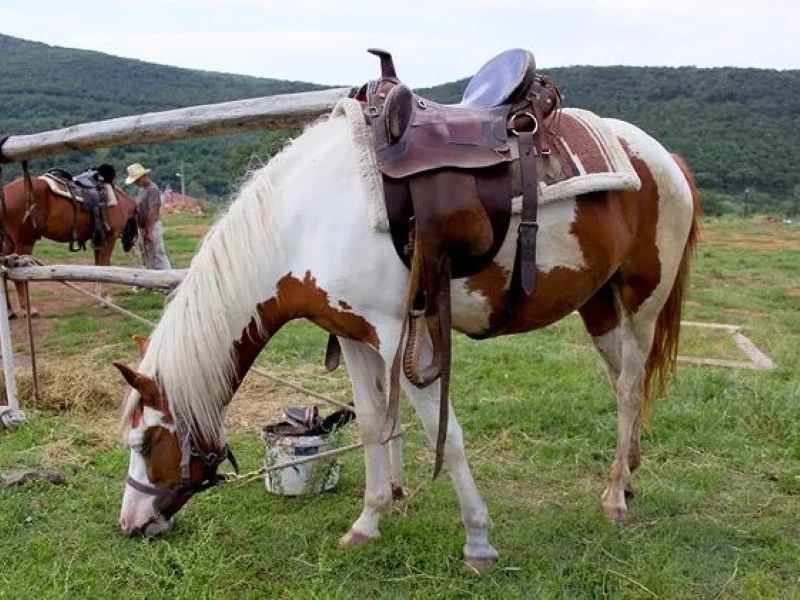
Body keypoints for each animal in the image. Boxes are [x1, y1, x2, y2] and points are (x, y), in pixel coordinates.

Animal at [0, 171, 139, 316]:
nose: (129, 245)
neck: (119, 203)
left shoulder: (98, 241)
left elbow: (98, 267)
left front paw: (100, 297)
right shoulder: (109, 238)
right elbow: (105, 266)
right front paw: (105, 299)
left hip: (8, 242)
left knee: (4, 270)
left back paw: (9, 311)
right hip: (24, 243)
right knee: (17, 273)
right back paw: (26, 308)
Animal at [112, 87, 700, 570]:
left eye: (147, 441)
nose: (131, 524)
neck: (308, 220)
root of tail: (663, 157)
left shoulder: (401, 337)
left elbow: (449, 436)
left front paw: (477, 541)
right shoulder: (352, 334)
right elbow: (375, 424)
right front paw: (369, 520)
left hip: (642, 302)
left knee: (630, 389)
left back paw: (614, 497)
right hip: (598, 305)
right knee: (622, 381)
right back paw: (629, 478)